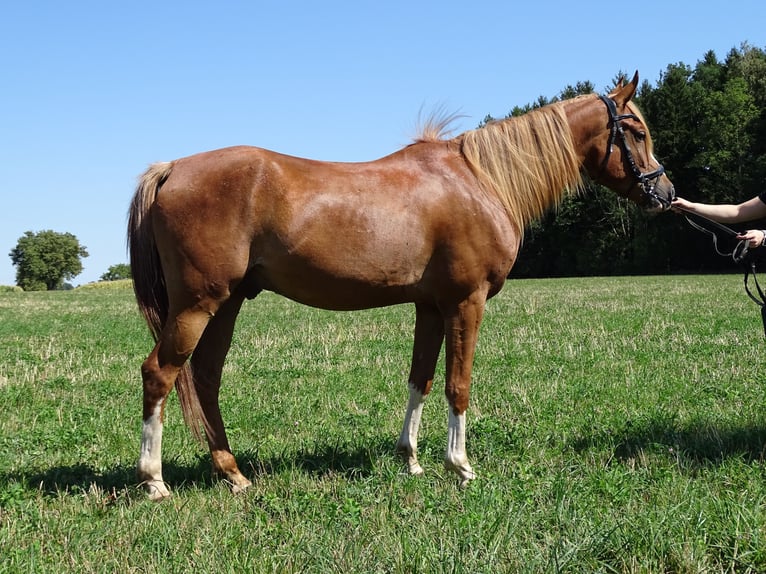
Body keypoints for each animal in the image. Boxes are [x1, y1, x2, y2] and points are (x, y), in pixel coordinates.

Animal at [128, 72, 674, 499]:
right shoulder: (465, 302)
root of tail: (171, 168)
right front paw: (461, 467)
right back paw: (155, 481)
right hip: (198, 304)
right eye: (636, 131)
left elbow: (421, 380)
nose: (665, 194)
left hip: (227, 303)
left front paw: (410, 460)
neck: (479, 181)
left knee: (205, 377)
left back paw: (233, 473)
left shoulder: (430, 307)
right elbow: (458, 384)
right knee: (160, 373)